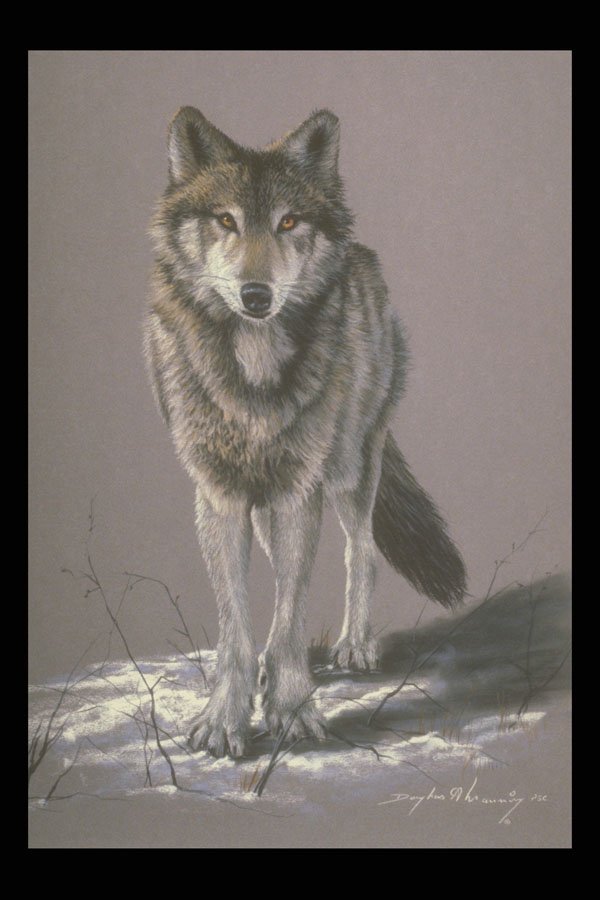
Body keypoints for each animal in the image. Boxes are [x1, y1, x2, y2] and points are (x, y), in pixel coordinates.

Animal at [144, 106, 467, 758]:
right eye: (226, 220)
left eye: (288, 222)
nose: (256, 295)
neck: (252, 371)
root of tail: (363, 256)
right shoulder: (221, 497)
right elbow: (239, 625)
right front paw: (226, 718)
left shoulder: (298, 492)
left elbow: (290, 613)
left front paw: (291, 709)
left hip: (347, 471)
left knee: (361, 552)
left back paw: (354, 647)